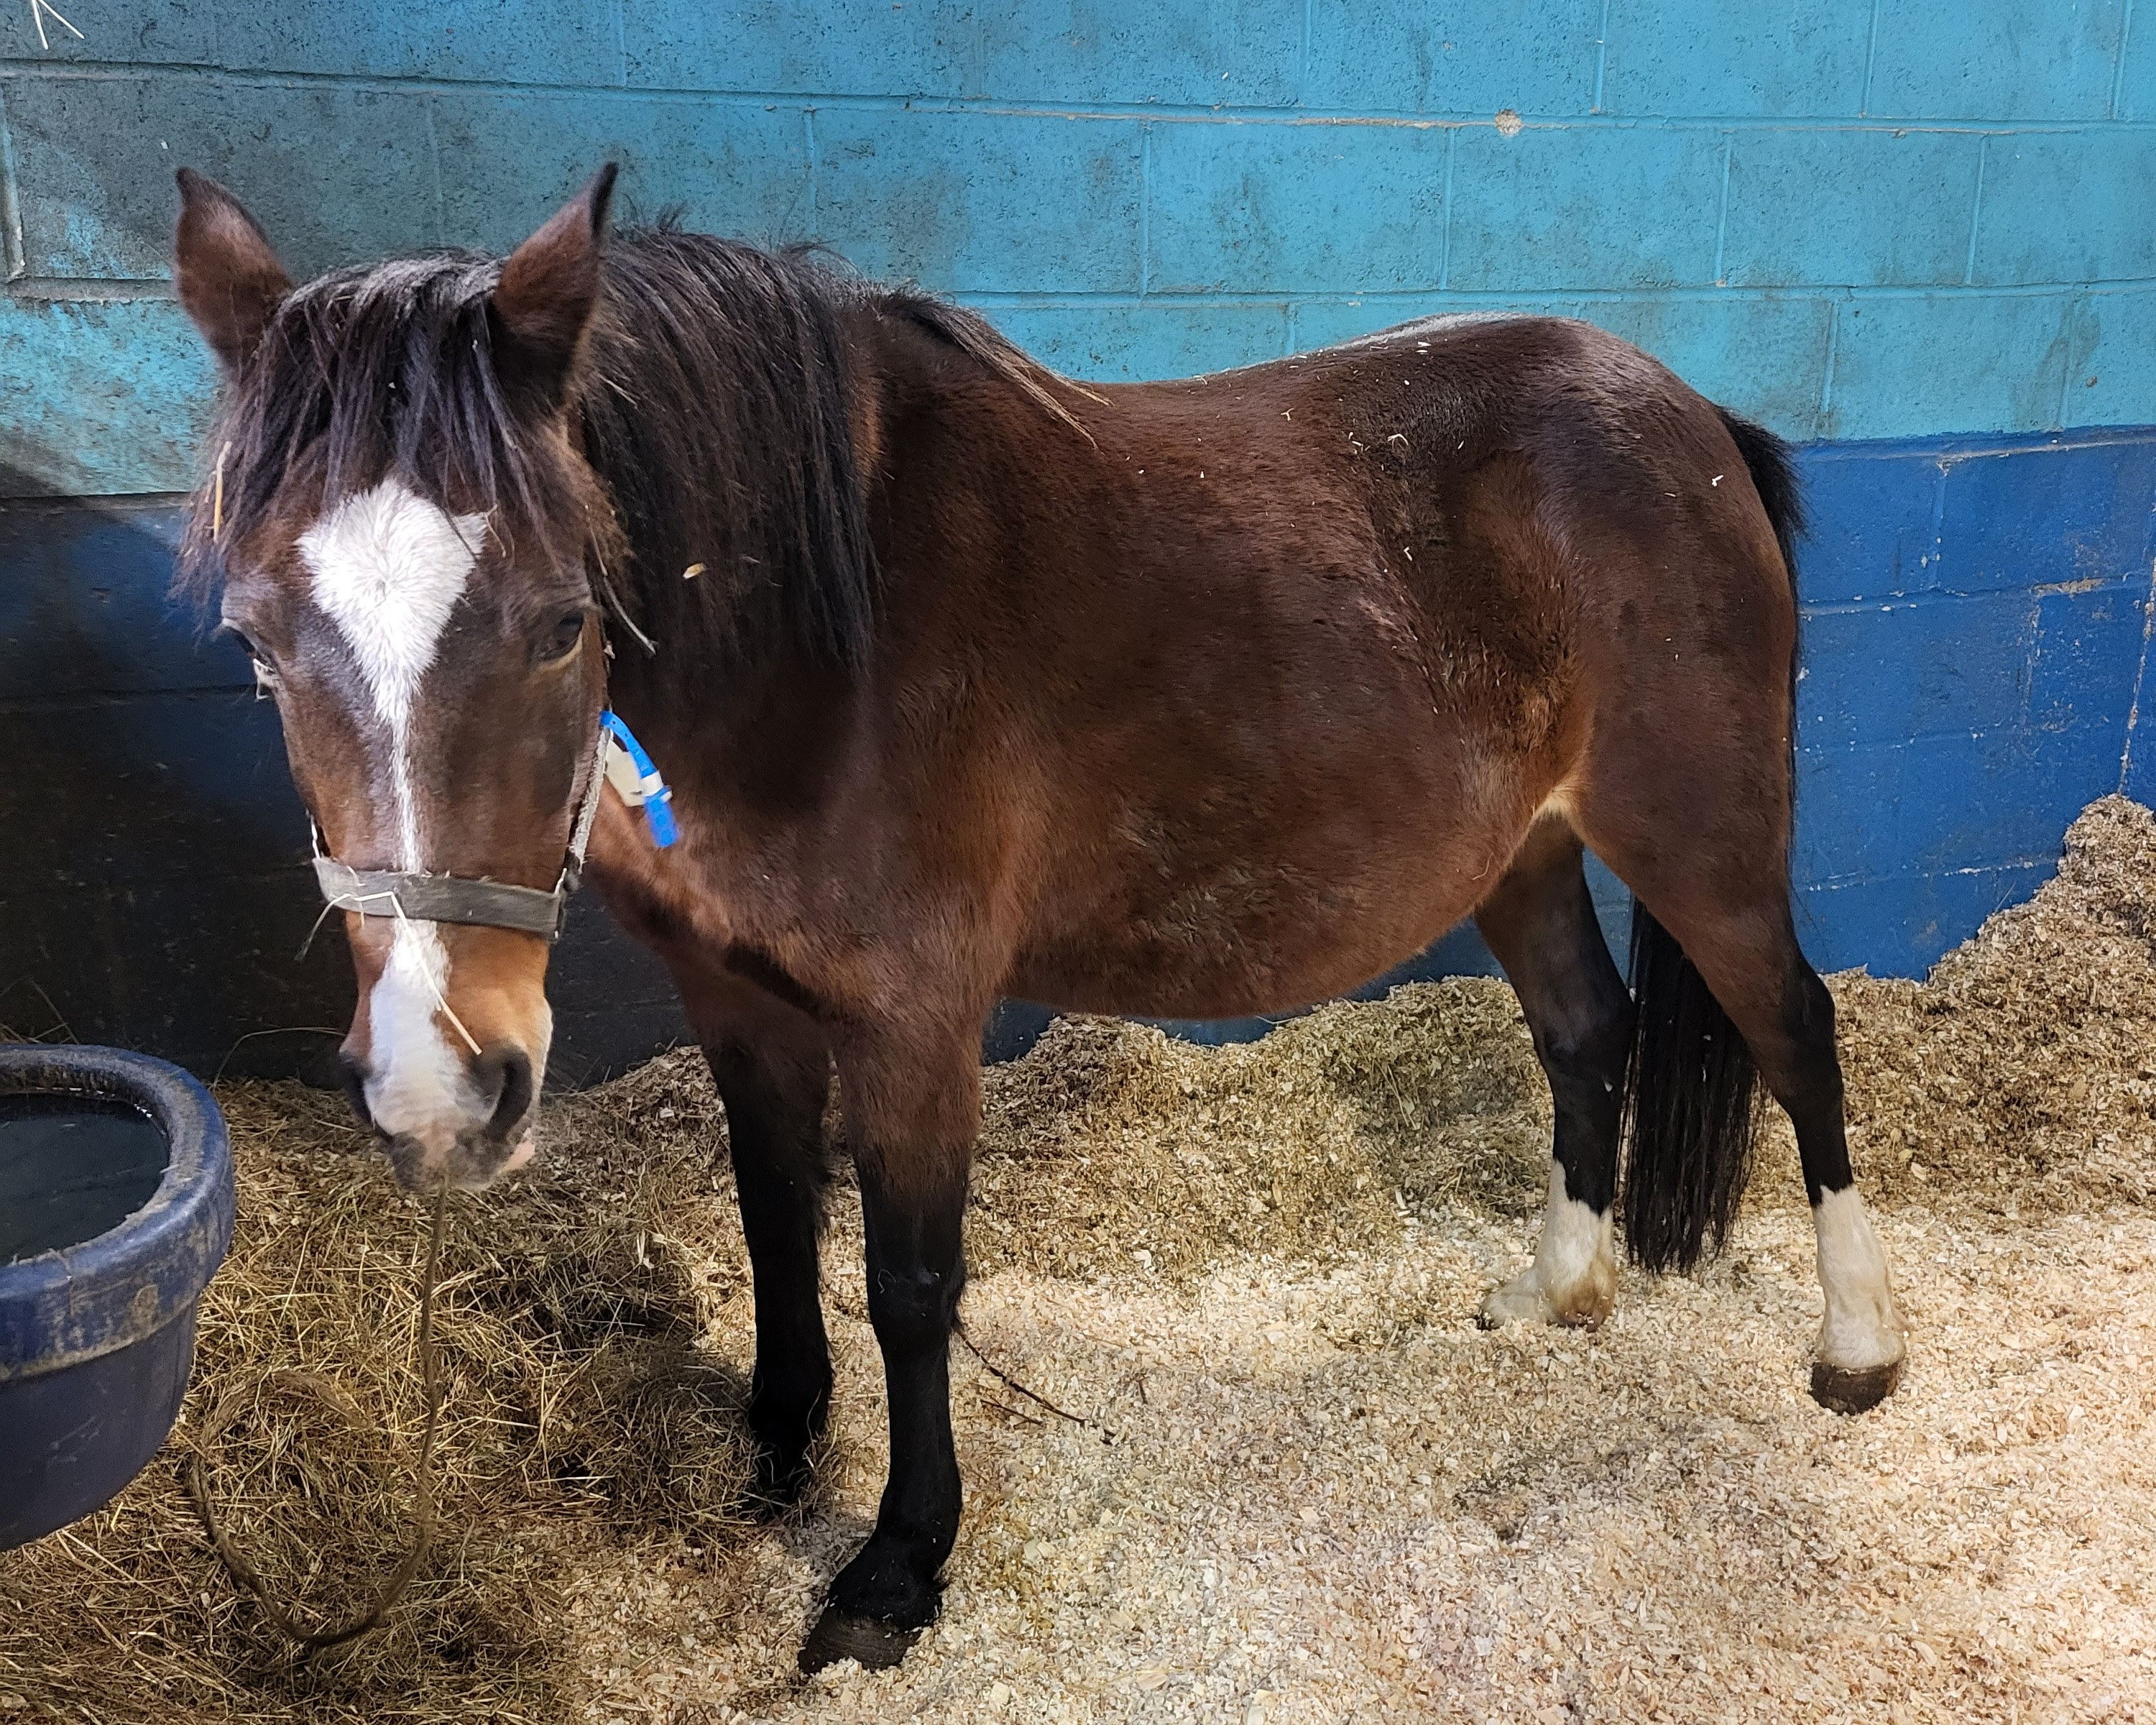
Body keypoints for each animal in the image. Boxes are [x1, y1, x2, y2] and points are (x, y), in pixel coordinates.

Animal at [170, 163, 1907, 1672]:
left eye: (557, 621)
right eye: (252, 638)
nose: (437, 1087)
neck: (823, 645)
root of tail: (1687, 415)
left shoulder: (916, 1023)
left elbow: (911, 1284)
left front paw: (894, 1570)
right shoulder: (736, 997)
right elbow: (776, 1219)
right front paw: (778, 1450)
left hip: (1701, 839)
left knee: (1796, 1032)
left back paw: (1856, 1352)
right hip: (1523, 854)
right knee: (1586, 1033)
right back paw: (1552, 1291)